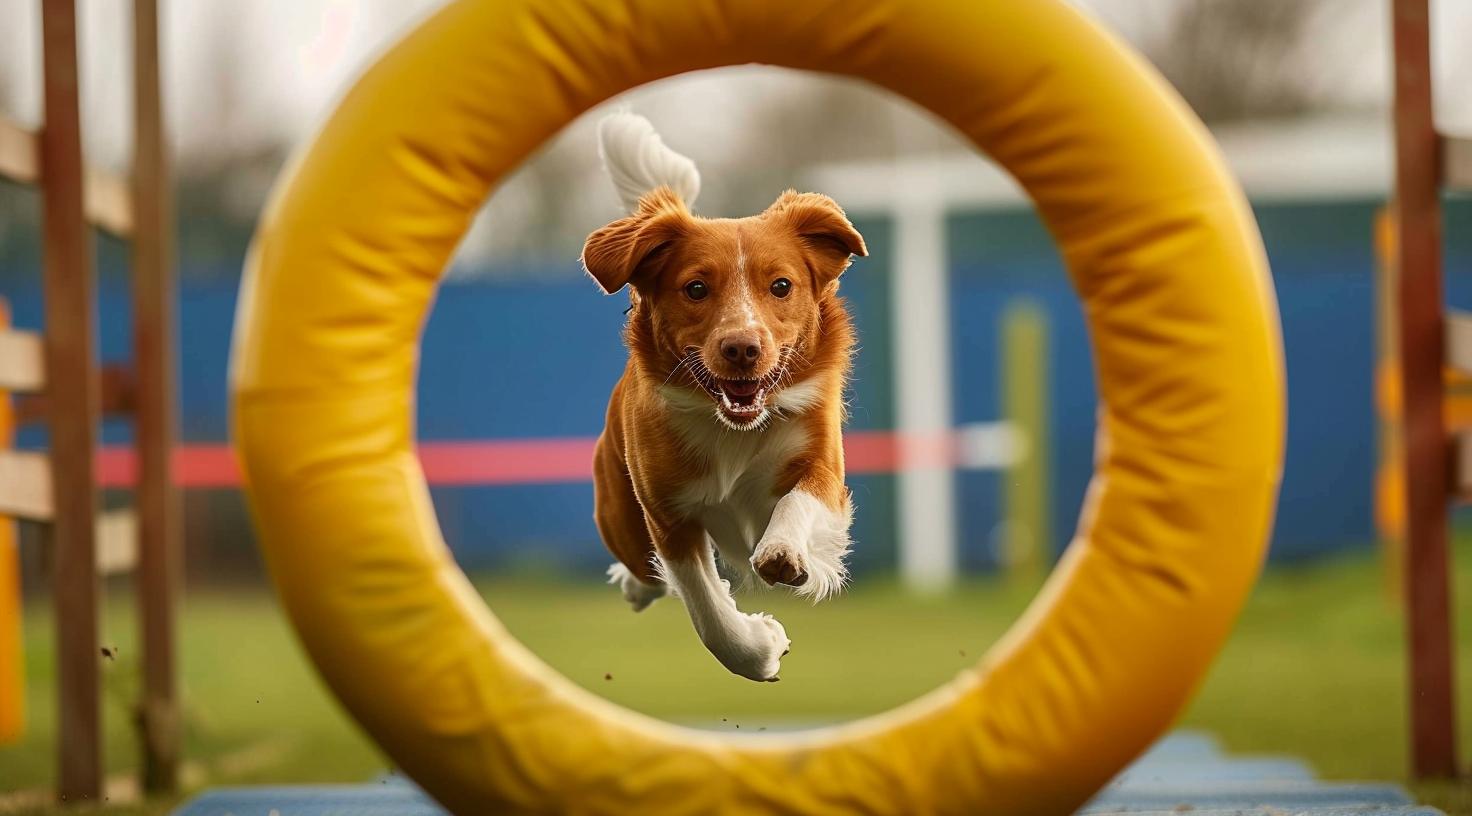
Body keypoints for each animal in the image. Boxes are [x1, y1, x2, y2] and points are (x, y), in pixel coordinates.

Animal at [582, 111, 865, 677]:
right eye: (696, 288)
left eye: (781, 286)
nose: (742, 349)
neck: (732, 426)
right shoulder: (668, 517)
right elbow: (709, 612)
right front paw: (761, 648)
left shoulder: (823, 466)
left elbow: (800, 500)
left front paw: (783, 552)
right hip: (619, 516)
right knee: (643, 571)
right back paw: (635, 585)